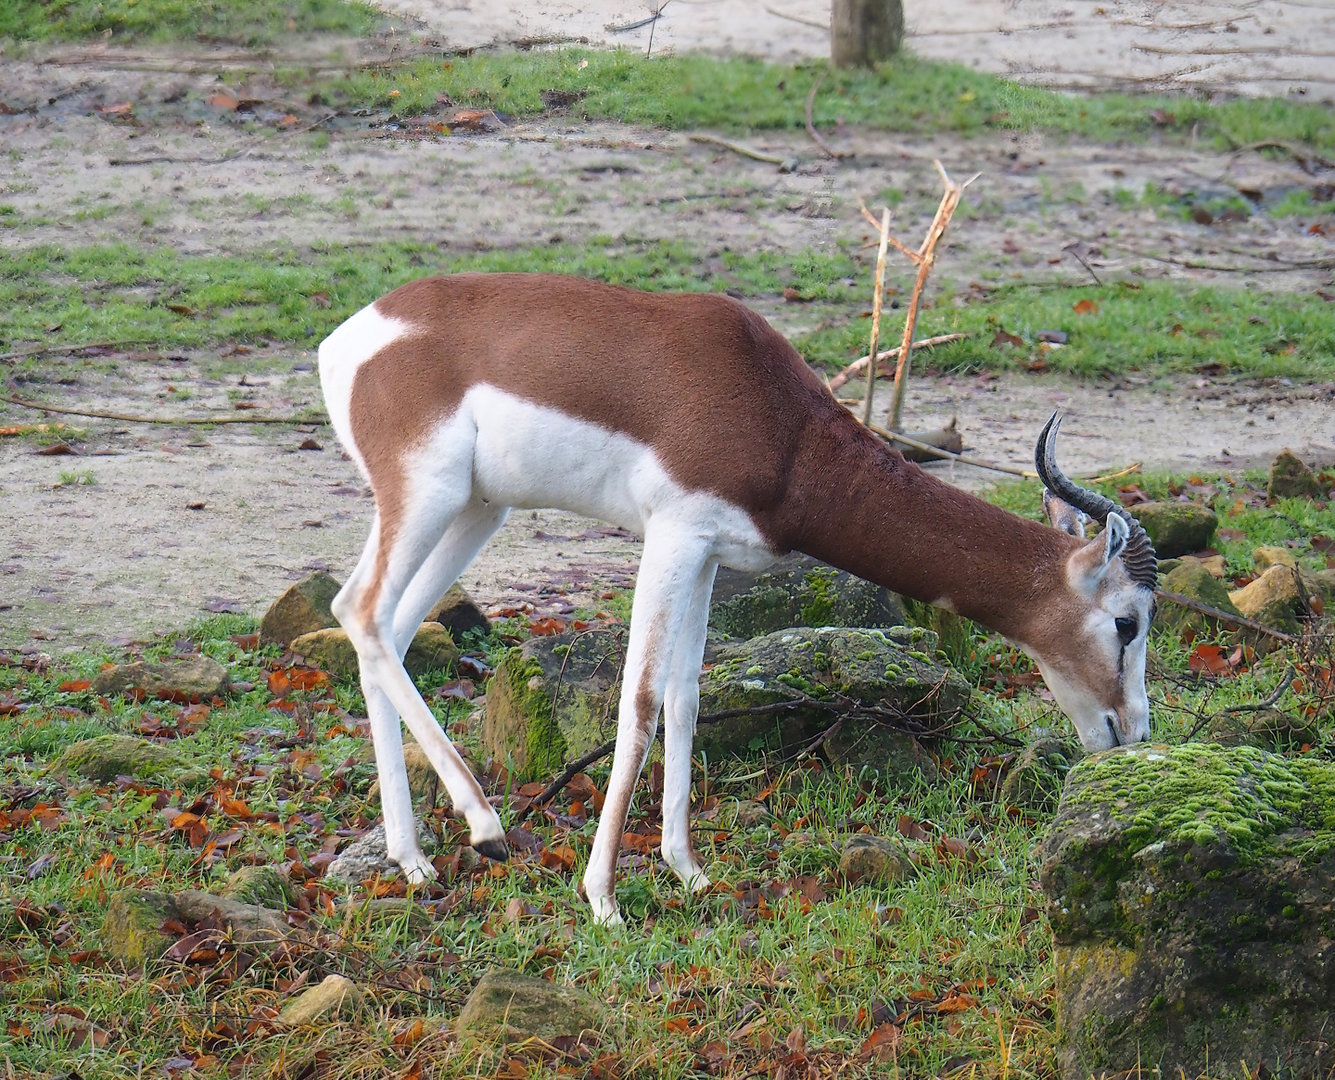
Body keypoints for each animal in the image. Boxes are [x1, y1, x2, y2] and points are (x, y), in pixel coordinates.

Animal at [318, 273, 1158, 925]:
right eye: (1125, 622)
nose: (1131, 732)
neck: (784, 429)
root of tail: (349, 339)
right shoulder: (671, 537)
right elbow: (640, 703)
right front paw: (603, 898)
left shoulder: (707, 557)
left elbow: (686, 698)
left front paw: (687, 870)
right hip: (426, 495)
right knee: (358, 611)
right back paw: (485, 826)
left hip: (475, 509)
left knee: (386, 630)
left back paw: (412, 858)